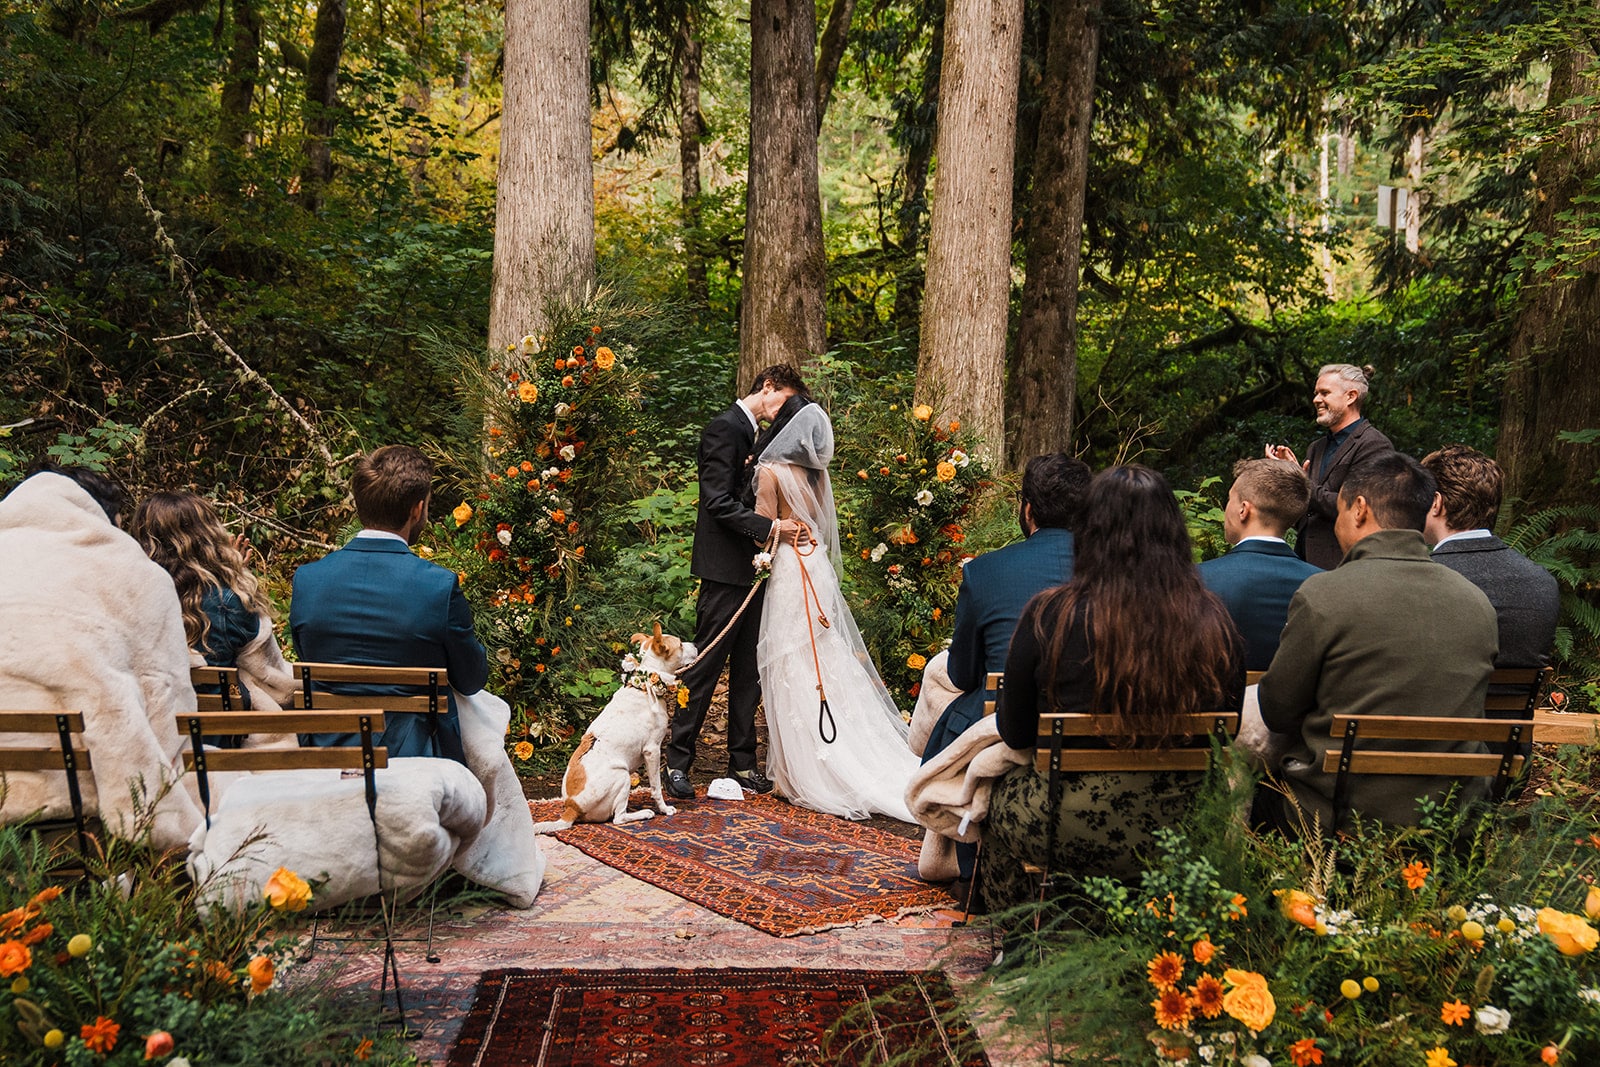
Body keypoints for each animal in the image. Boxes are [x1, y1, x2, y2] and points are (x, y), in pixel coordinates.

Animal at [531, 620, 694, 838]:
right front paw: (665, 809)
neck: (644, 688)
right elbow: (656, 788)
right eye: (681, 645)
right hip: (623, 775)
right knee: (619, 818)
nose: (697, 645)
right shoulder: (652, 750)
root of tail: (571, 808)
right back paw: (644, 813)